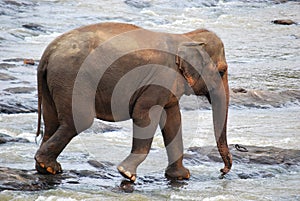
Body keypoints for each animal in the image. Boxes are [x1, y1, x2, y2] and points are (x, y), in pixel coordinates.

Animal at [35, 22, 232, 182]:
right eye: (222, 71)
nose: (222, 171)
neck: (186, 37)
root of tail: (48, 52)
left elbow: (173, 120)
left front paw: (181, 176)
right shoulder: (160, 78)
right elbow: (144, 116)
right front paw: (127, 174)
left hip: (54, 83)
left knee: (52, 122)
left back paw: (47, 168)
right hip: (72, 79)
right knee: (79, 120)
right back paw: (47, 165)